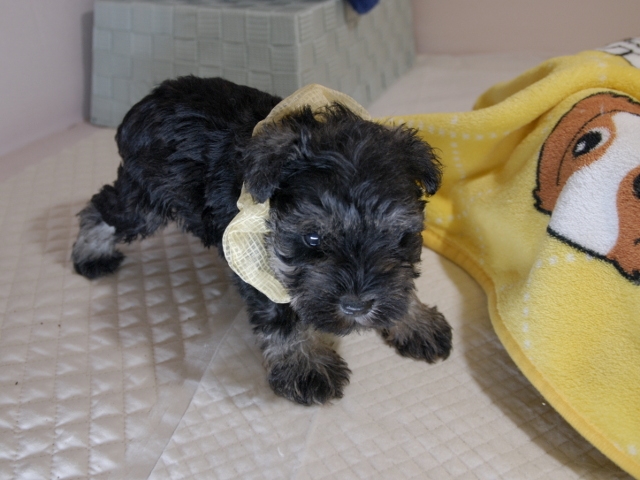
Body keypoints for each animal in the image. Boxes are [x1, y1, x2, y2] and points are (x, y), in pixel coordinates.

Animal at [72, 76, 452, 405]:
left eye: (395, 235)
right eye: (312, 237)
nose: (356, 307)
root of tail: (145, 102)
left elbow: (400, 281)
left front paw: (415, 320)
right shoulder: (257, 263)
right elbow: (281, 317)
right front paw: (305, 366)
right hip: (146, 201)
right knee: (103, 208)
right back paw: (91, 255)